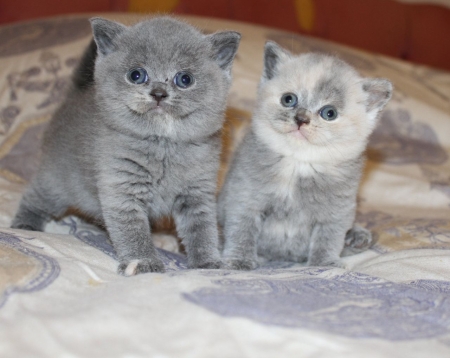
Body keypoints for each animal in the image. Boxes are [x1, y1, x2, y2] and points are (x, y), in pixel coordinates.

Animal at [11, 16, 243, 274]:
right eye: (136, 75)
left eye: (184, 79)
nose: (159, 93)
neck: (163, 146)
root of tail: (73, 97)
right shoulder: (122, 188)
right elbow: (133, 230)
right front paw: (143, 262)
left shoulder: (197, 191)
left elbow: (202, 229)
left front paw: (207, 264)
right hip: (56, 179)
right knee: (36, 196)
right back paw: (24, 225)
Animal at [220, 42, 392, 270]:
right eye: (288, 99)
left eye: (329, 113)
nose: (301, 119)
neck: (298, 162)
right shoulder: (244, 198)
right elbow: (242, 231)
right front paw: (239, 261)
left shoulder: (336, 213)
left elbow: (327, 239)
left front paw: (324, 264)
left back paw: (355, 237)